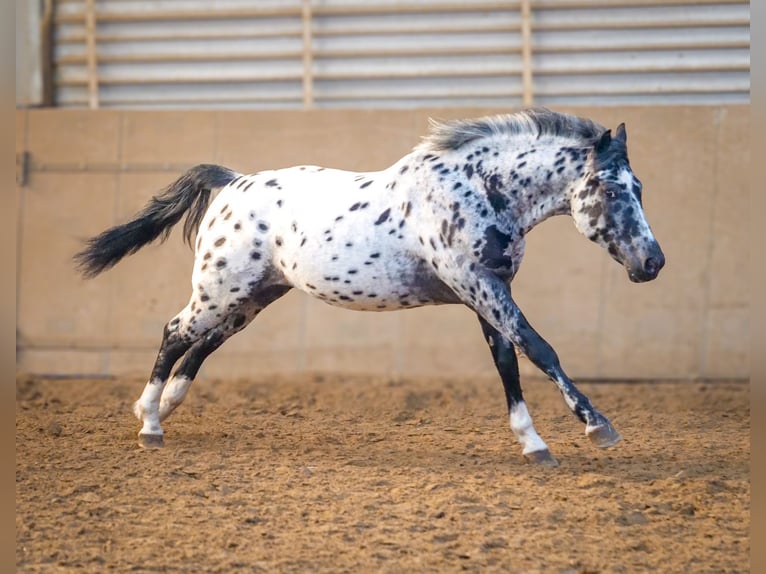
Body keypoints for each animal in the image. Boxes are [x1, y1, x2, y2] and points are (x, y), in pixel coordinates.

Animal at [76, 109, 664, 468]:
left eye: (639, 187)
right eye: (612, 189)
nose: (653, 262)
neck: (476, 190)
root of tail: (231, 182)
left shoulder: (488, 291)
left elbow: (508, 363)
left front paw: (534, 445)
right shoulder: (479, 286)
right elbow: (540, 350)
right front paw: (598, 428)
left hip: (254, 297)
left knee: (202, 342)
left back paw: (165, 407)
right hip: (220, 290)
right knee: (176, 331)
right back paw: (150, 422)